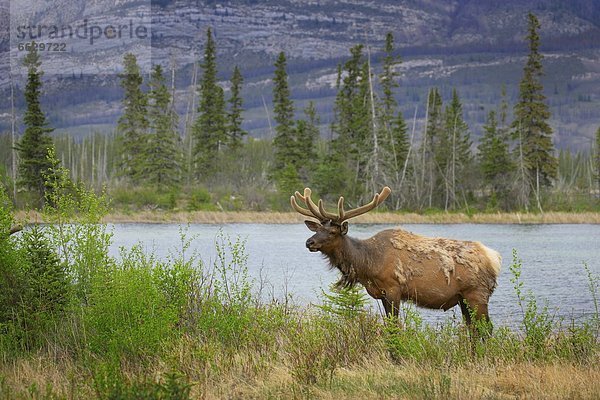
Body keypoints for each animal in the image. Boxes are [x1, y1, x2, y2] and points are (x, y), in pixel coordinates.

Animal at [290, 187, 502, 328]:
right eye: (317, 228)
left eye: (333, 232)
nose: (309, 242)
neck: (367, 265)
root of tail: (493, 258)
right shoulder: (381, 293)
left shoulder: (393, 289)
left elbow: (394, 327)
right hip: (463, 298)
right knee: (473, 328)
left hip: (477, 294)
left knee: (486, 328)